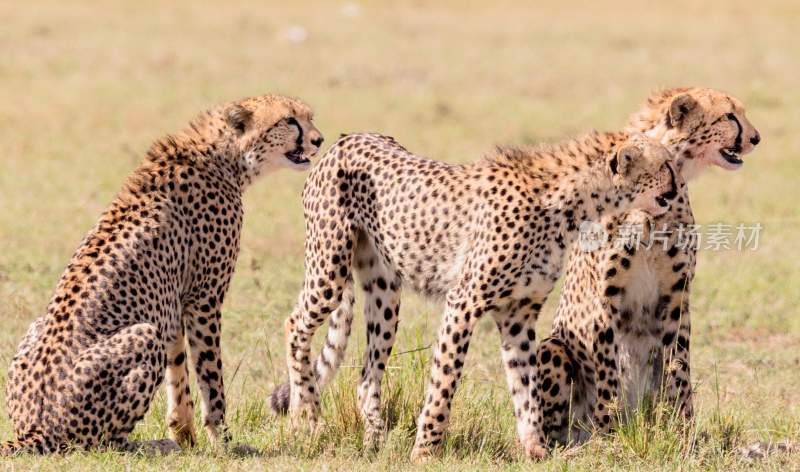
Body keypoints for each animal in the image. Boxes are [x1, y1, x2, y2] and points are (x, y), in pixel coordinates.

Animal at [3, 93, 322, 454]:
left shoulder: (172, 303)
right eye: (289, 120)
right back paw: (147, 445)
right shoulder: (203, 300)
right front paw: (223, 440)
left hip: (38, 325)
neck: (224, 155)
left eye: (308, 117)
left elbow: (178, 366)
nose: (318, 139)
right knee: (96, 443)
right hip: (141, 338)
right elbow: (210, 375)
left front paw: (185, 434)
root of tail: (32, 429)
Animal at [278, 129, 680, 460]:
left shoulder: (519, 313)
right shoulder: (464, 302)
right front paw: (425, 451)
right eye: (666, 165)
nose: (677, 191)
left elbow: (525, 385)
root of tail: (346, 139)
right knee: (294, 324)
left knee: (366, 378)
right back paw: (306, 413)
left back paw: (375, 437)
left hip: (385, 293)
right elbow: (445, 380)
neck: (571, 205)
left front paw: (535, 447)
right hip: (329, 267)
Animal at [536, 87, 760, 446]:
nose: (756, 137)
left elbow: (678, 366)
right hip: (553, 347)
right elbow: (608, 371)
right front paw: (608, 434)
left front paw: (683, 430)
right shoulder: (605, 299)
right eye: (729, 116)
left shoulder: (676, 295)